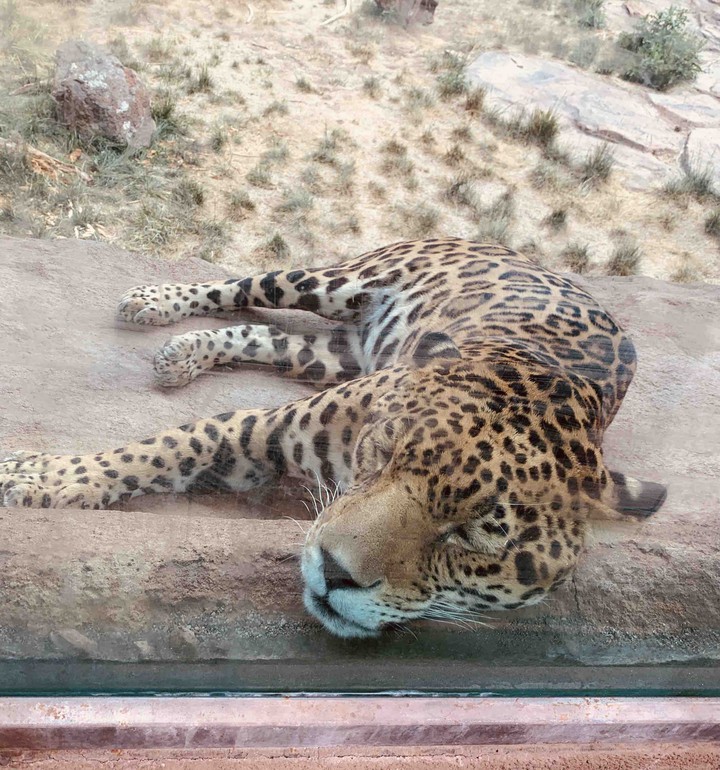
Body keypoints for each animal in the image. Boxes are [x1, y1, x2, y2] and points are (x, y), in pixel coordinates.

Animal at [0, 237, 667, 638]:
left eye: (474, 539)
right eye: (384, 454)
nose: (332, 571)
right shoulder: (269, 426)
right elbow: (162, 448)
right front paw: (35, 477)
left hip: (331, 355)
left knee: (261, 335)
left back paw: (184, 355)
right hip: (338, 280)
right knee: (242, 287)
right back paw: (153, 304)